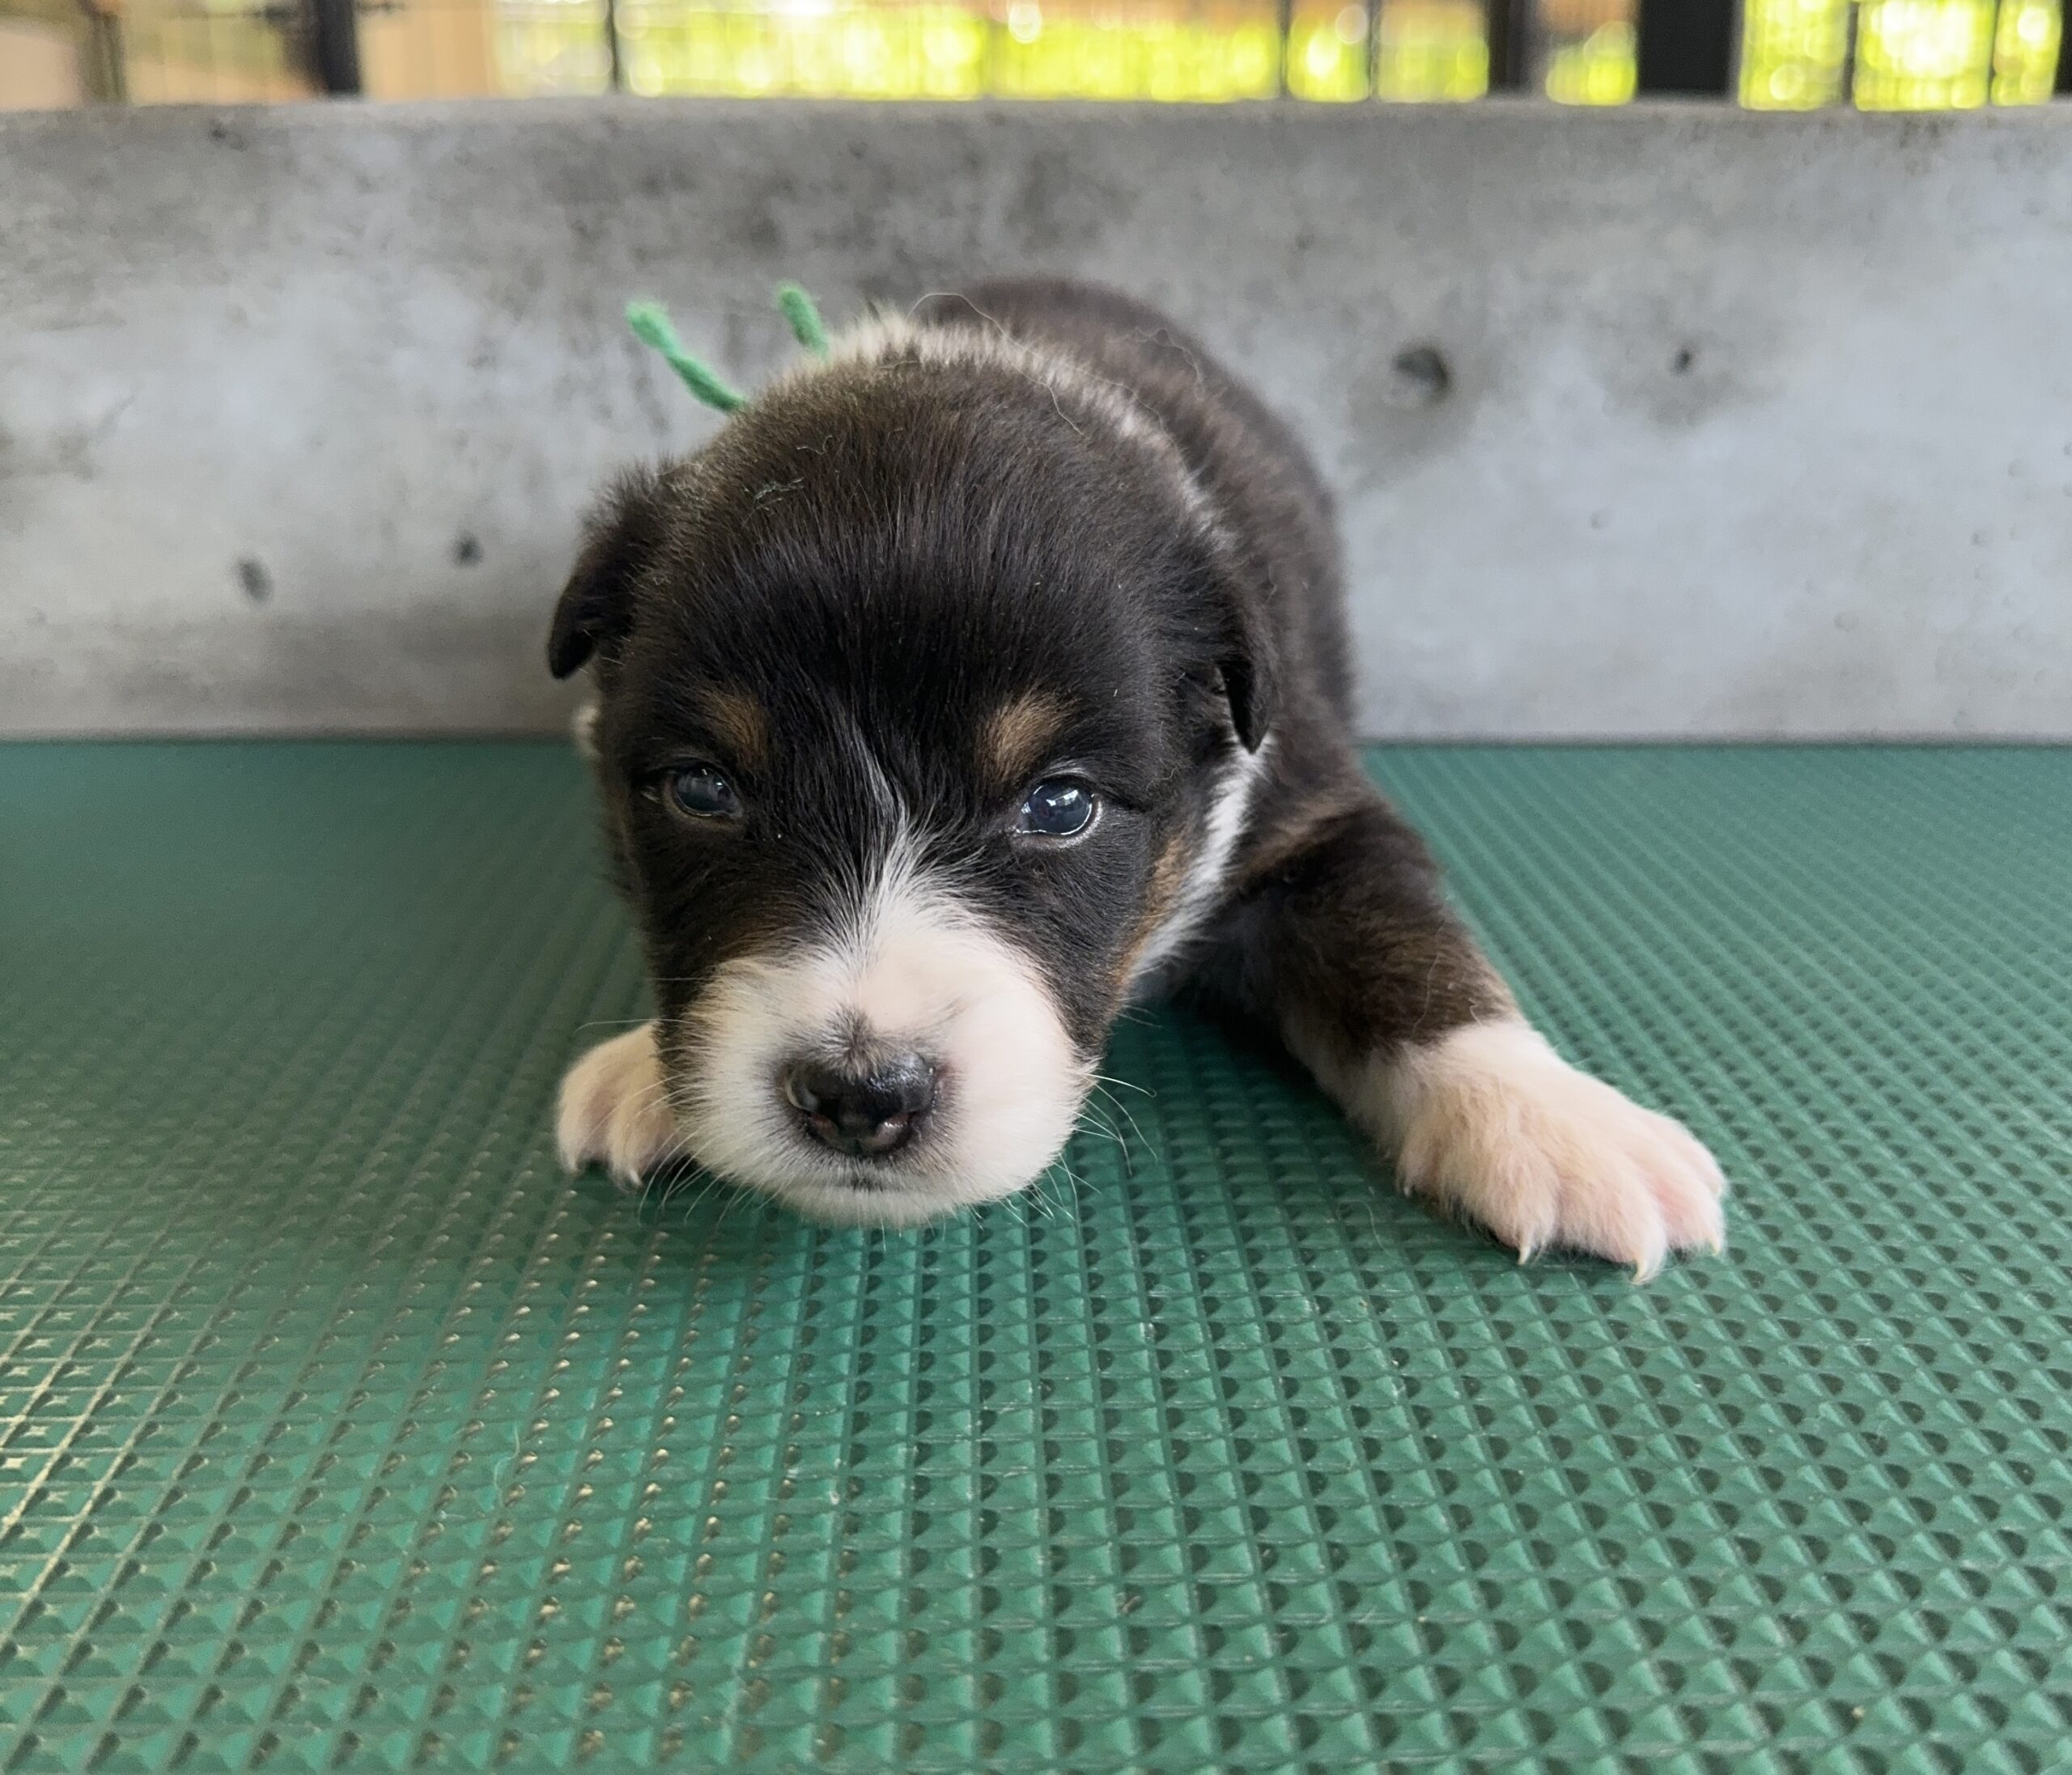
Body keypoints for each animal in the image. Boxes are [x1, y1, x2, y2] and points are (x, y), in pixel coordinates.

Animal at [542, 277, 1723, 1276]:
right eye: (704, 792)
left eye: (1060, 805)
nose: (857, 1097)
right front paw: (646, 1066)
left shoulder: (1311, 812)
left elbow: (1404, 944)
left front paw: (1550, 1118)